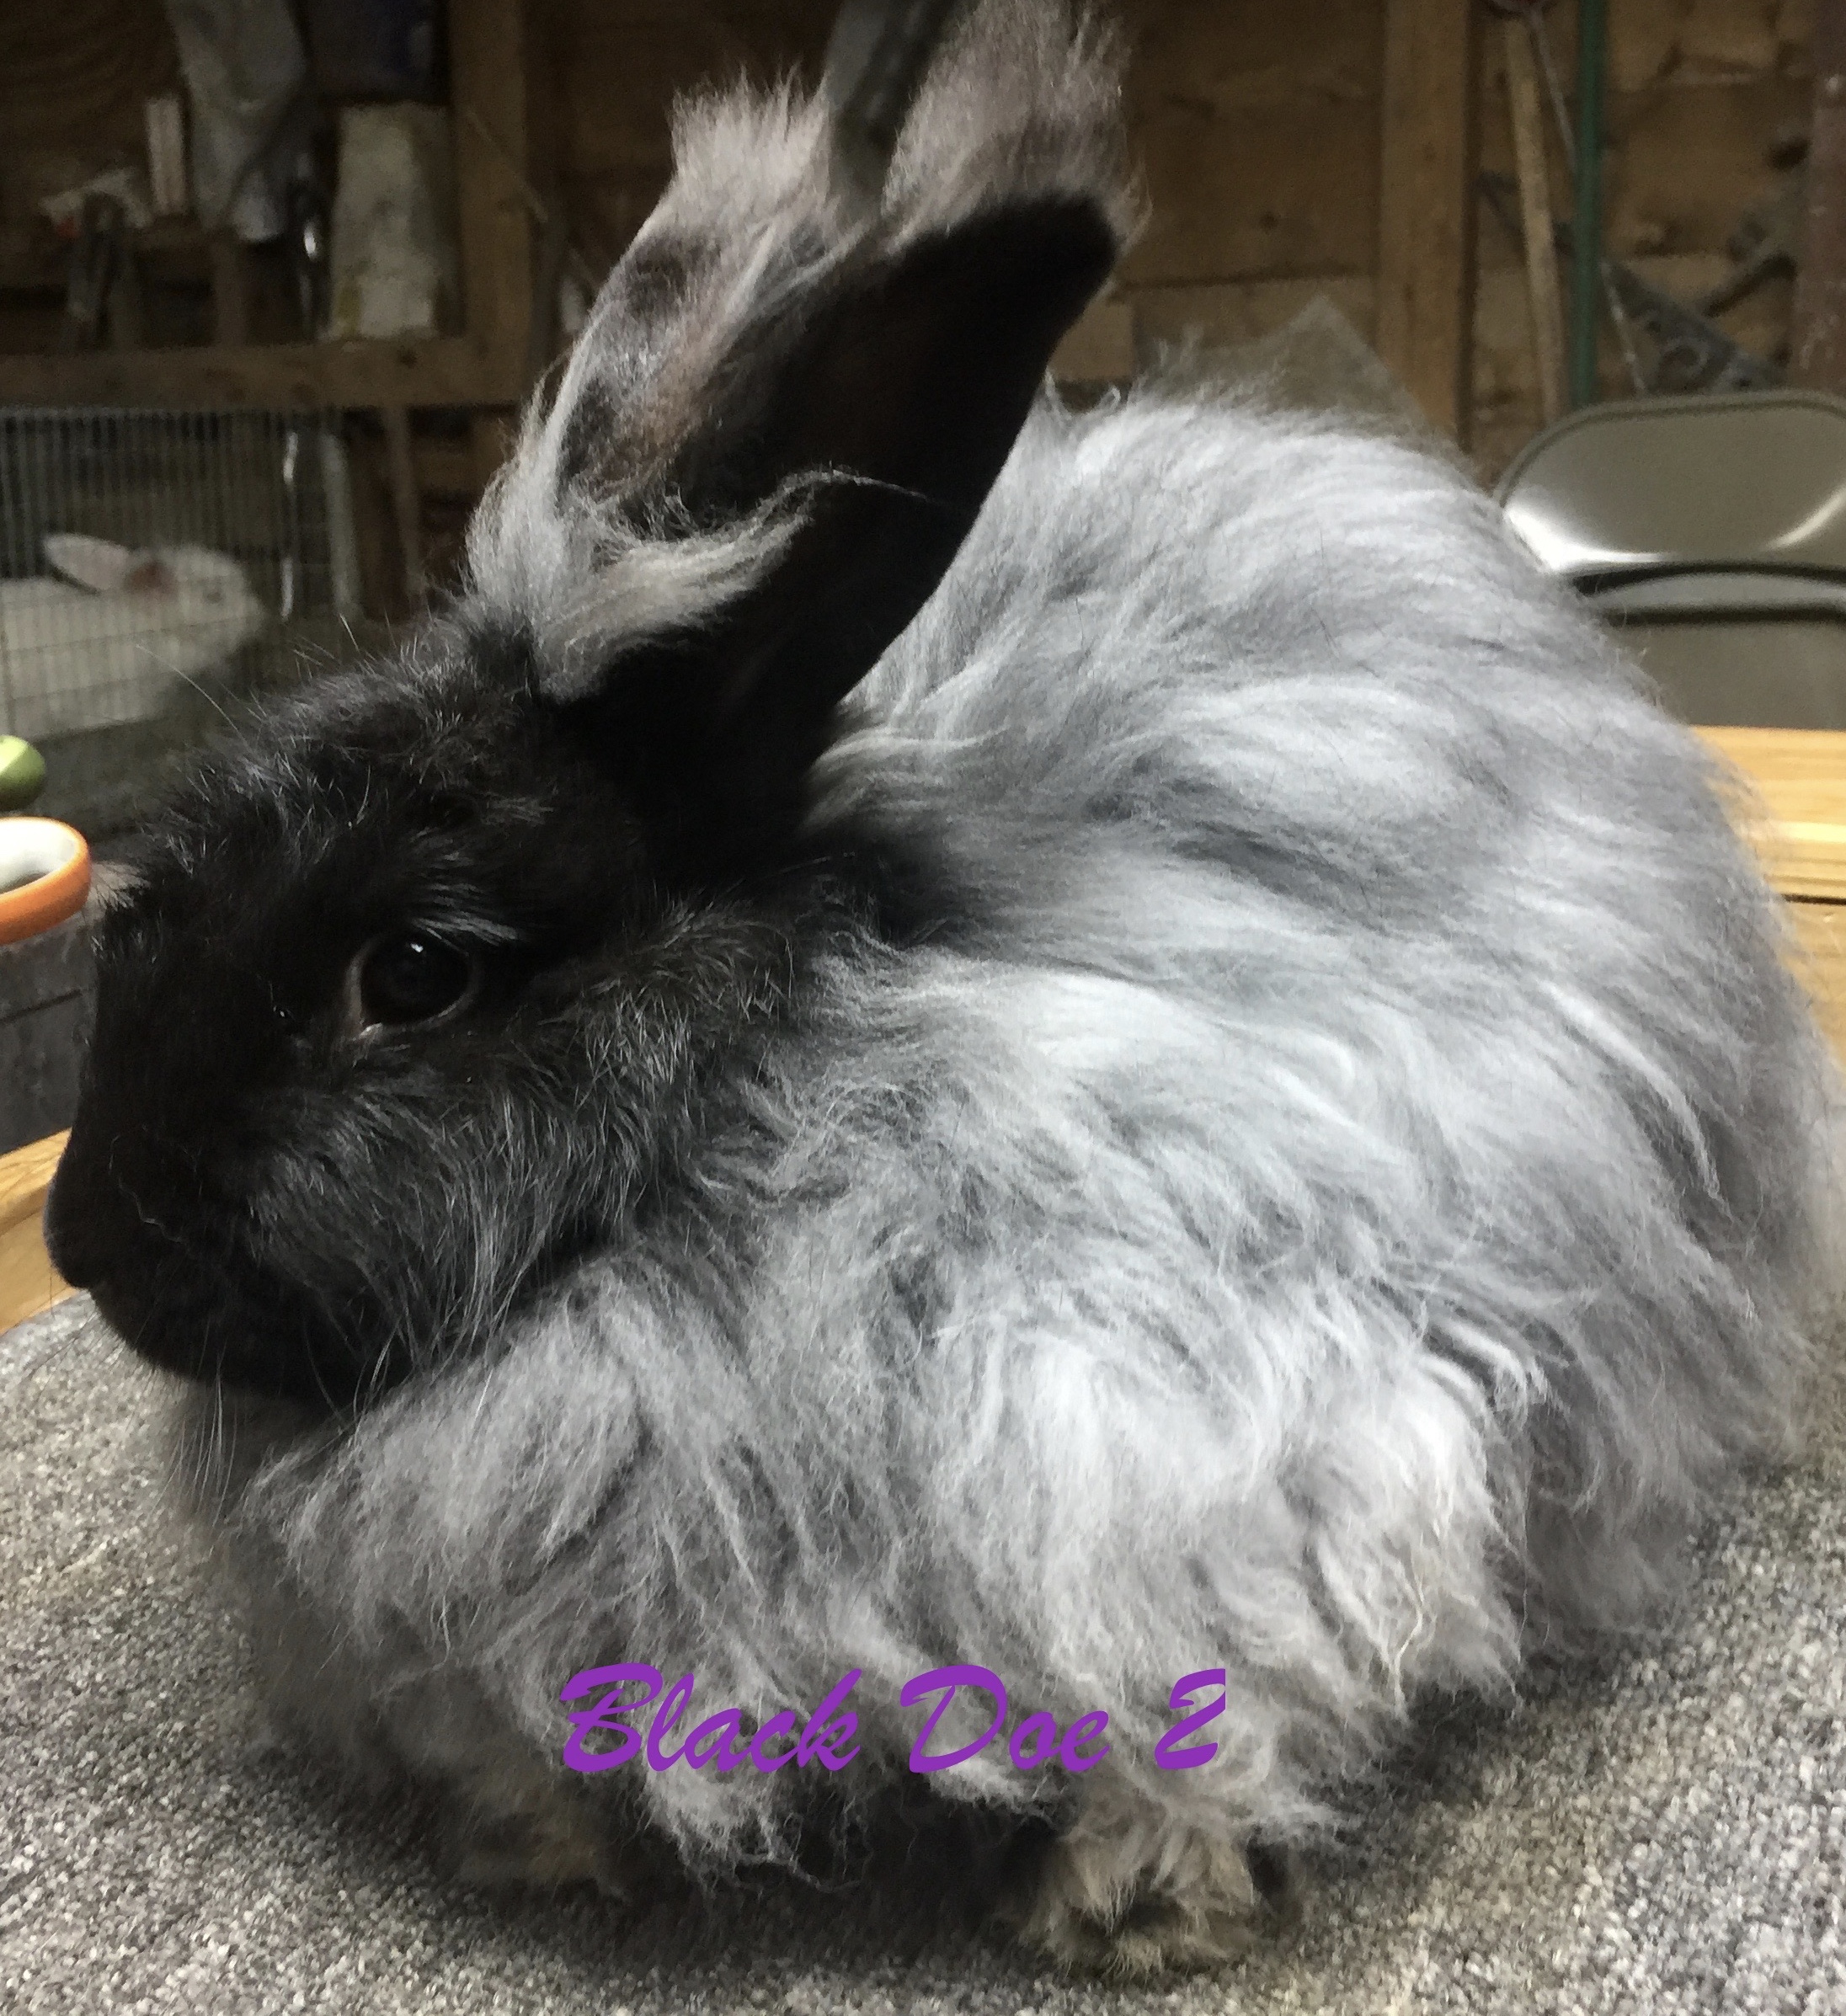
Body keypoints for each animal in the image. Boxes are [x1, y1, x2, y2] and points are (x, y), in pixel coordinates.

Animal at [43, 0, 1841, 1978]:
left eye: (417, 971)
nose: (81, 1247)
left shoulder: (1228, 1461)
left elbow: (1215, 1702)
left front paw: (1130, 1902)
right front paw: (542, 1848)